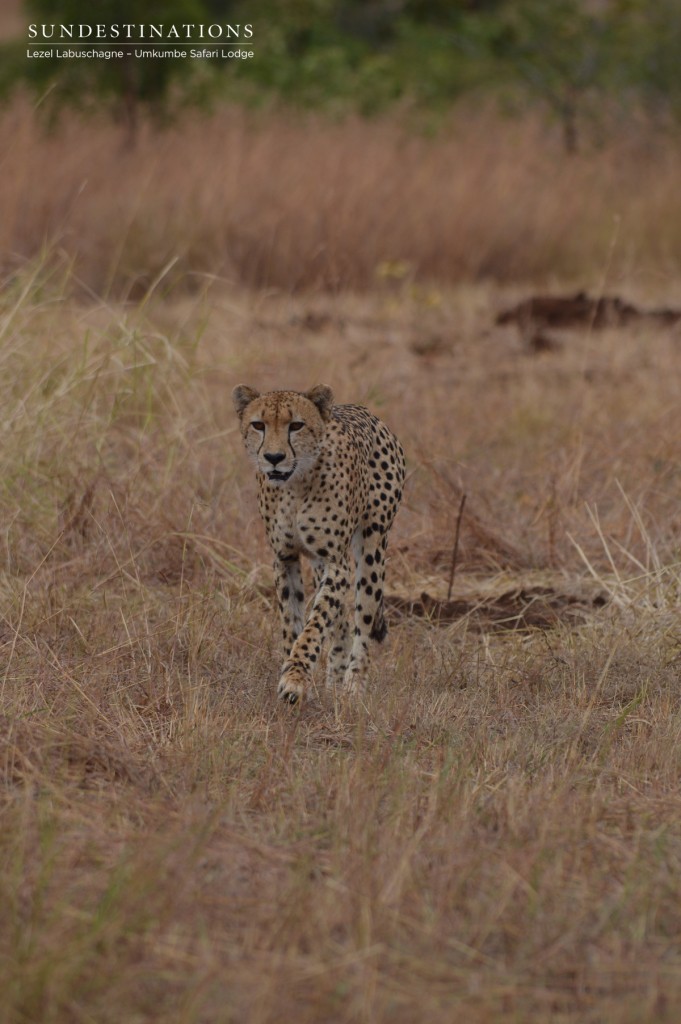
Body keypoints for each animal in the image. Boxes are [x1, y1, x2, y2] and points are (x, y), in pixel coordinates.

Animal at [233, 385, 403, 704]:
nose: (274, 457)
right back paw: (334, 680)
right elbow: (293, 621)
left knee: (362, 621)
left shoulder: (337, 563)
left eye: (296, 425)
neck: (294, 486)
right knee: (342, 622)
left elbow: (315, 623)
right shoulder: (285, 558)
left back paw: (352, 687)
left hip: (372, 549)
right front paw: (294, 673)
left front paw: (295, 679)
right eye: (258, 425)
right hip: (319, 562)